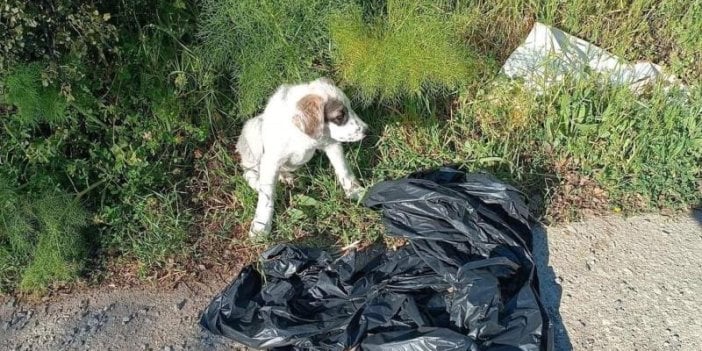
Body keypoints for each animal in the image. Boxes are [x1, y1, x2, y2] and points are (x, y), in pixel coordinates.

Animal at [236, 77, 368, 236]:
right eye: (340, 116)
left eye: (350, 108)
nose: (367, 130)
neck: (301, 134)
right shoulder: (271, 160)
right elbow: (266, 196)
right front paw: (261, 225)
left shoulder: (331, 144)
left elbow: (344, 170)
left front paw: (355, 191)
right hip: (254, 132)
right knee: (248, 172)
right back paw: (258, 183)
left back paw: (285, 177)